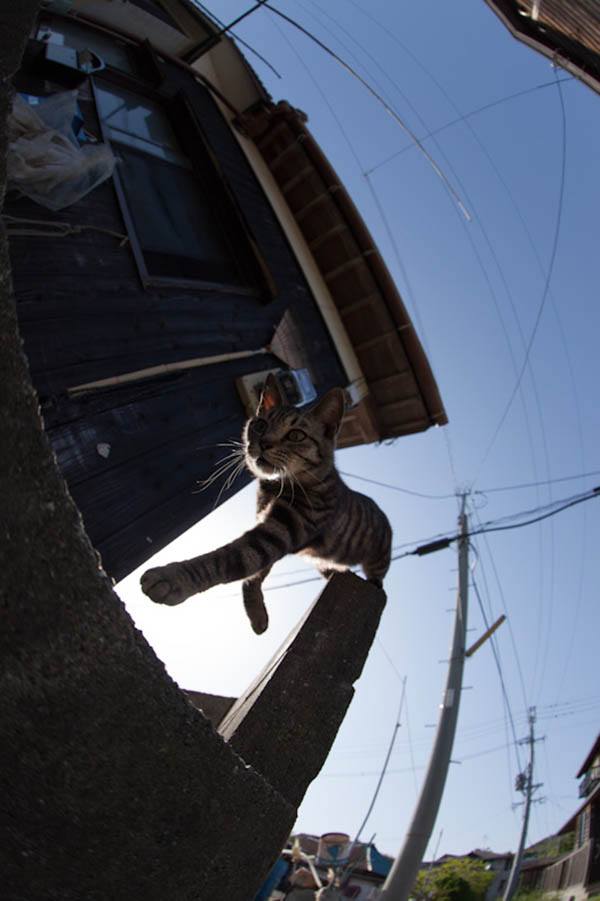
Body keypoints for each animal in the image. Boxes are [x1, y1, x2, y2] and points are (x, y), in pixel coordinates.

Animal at [141, 380, 394, 632]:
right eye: (260, 425)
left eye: (295, 435)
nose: (263, 443)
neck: (274, 487)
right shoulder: (268, 527)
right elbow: (254, 574)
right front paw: (257, 613)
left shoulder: (283, 530)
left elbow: (226, 558)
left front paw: (173, 577)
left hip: (378, 559)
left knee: (379, 580)